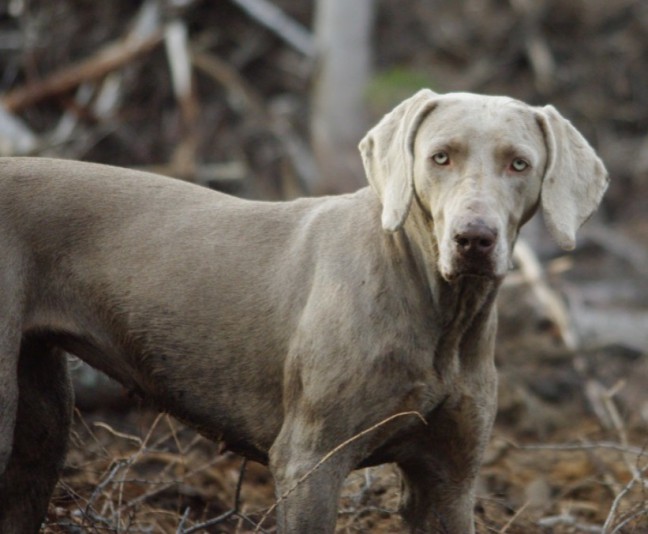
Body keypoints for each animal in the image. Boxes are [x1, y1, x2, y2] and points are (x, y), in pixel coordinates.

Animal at [0, 90, 608, 532]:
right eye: (440, 157)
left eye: (519, 164)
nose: (473, 239)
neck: (439, 310)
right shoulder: (308, 461)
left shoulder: (448, 481)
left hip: (41, 418)